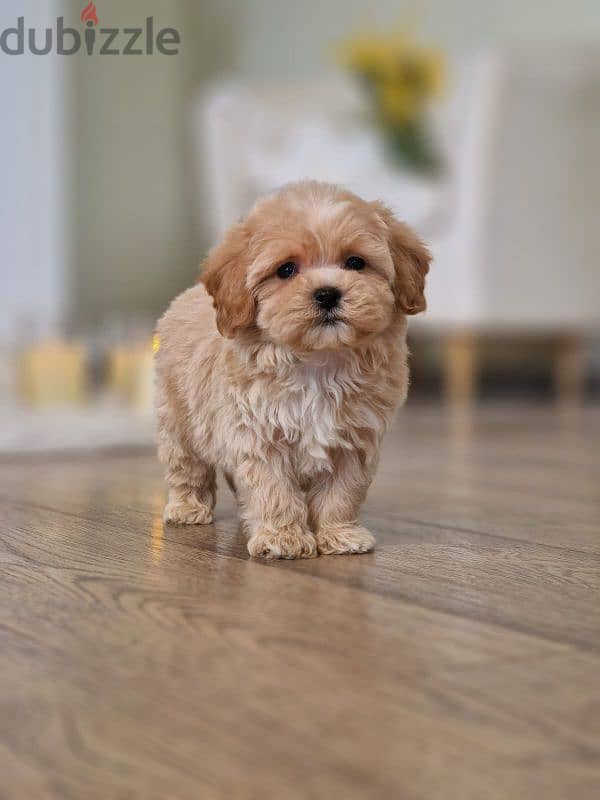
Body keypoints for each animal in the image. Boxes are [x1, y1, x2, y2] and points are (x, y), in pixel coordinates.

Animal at [154, 180, 426, 560]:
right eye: (286, 270)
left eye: (355, 262)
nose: (328, 294)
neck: (316, 362)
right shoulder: (258, 434)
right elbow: (273, 488)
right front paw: (282, 537)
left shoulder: (354, 439)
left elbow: (343, 491)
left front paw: (341, 534)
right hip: (179, 420)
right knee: (186, 466)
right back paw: (187, 507)